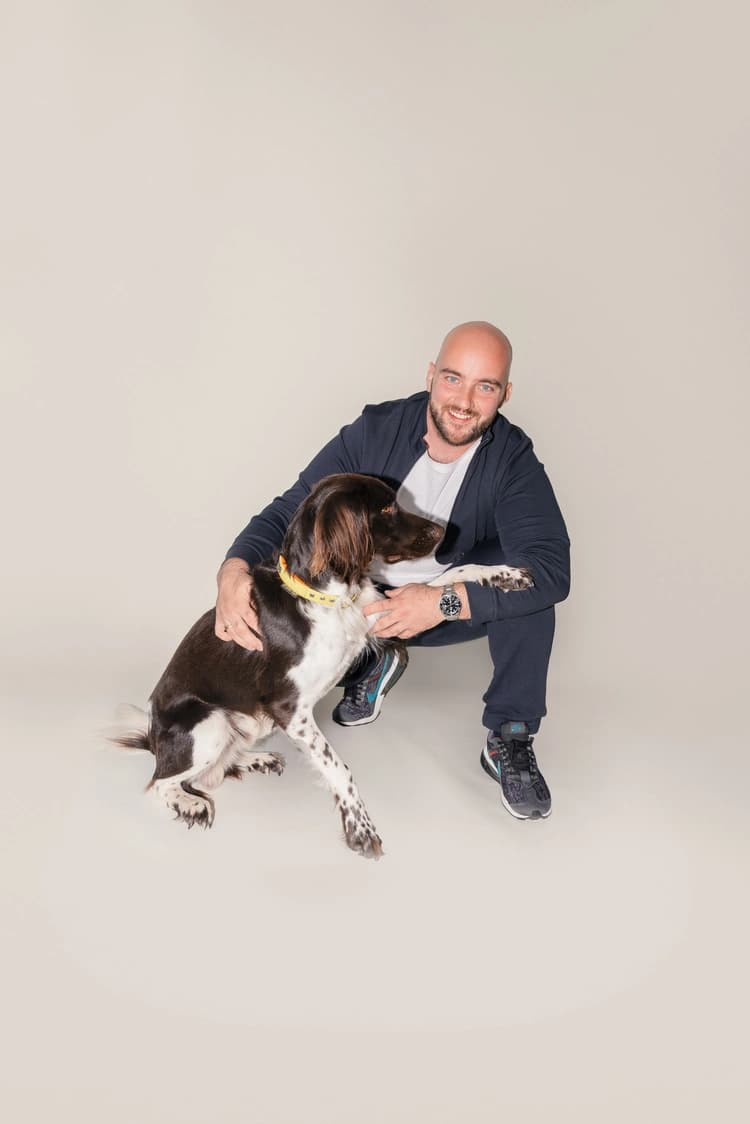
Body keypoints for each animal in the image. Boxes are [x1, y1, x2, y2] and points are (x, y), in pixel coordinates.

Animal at [113, 469, 532, 854]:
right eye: (386, 508)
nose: (443, 529)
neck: (325, 596)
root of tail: (153, 737)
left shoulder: (381, 611)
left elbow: (450, 576)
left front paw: (505, 573)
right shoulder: (289, 709)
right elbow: (339, 767)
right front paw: (359, 826)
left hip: (247, 722)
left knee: (215, 768)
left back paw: (255, 760)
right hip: (209, 722)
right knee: (161, 782)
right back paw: (191, 804)